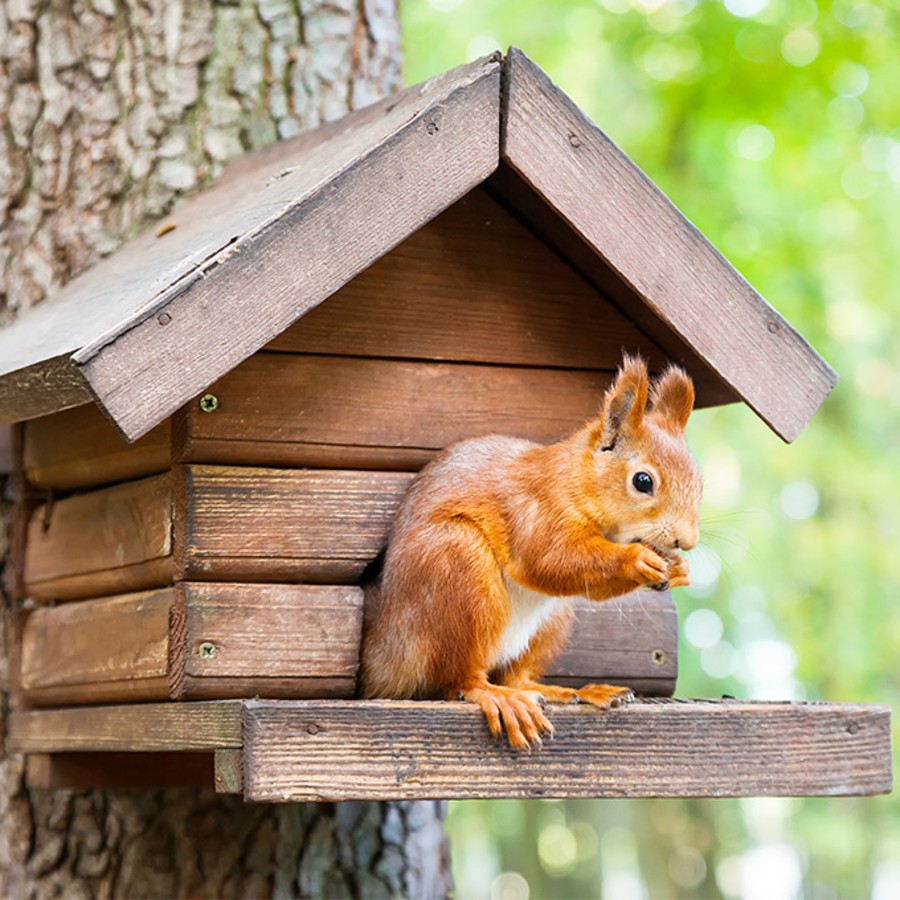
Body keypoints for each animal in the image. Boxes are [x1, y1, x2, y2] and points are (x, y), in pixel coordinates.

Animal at [358, 356, 704, 748]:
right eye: (643, 481)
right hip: (458, 569)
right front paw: (636, 559)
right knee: (460, 680)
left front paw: (680, 570)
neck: (575, 479)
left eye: (698, 481)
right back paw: (498, 697)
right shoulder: (536, 510)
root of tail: (389, 645)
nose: (686, 541)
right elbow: (550, 560)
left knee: (517, 676)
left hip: (552, 620)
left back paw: (576, 691)